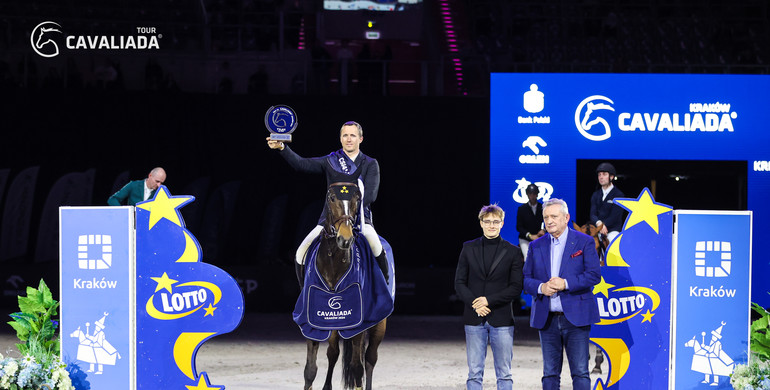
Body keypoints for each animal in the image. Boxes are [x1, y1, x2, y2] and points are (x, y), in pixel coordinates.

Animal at [300, 183, 384, 390]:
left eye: (357, 198)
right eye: (331, 198)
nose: (345, 239)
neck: (334, 264)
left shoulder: (359, 324)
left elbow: (357, 368)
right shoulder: (313, 321)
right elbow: (310, 370)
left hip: (379, 324)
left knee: (369, 359)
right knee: (333, 354)